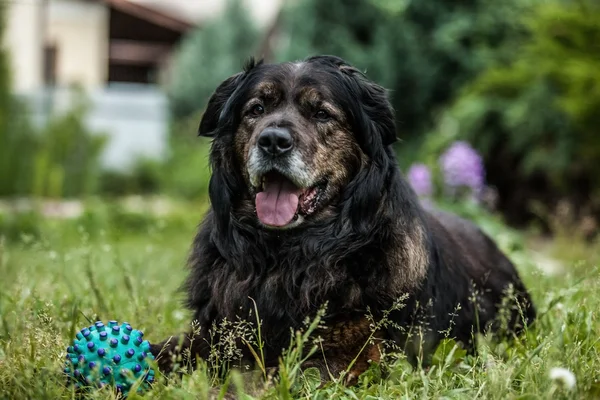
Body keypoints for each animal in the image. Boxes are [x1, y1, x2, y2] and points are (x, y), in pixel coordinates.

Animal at [149, 54, 536, 386]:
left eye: (322, 114)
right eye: (256, 109)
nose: (272, 141)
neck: (285, 256)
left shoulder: (352, 352)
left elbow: (262, 376)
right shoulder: (213, 332)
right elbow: (162, 351)